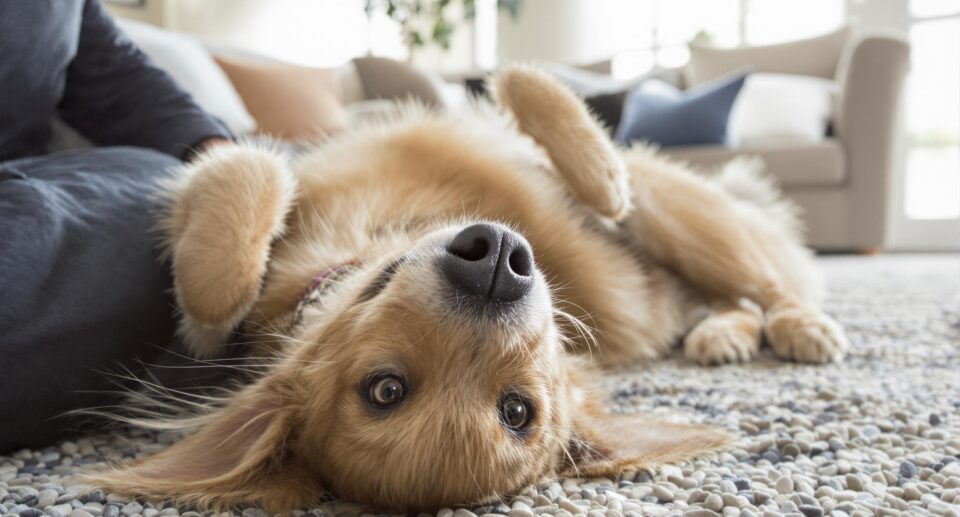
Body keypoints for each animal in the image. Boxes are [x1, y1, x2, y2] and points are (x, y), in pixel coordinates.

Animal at [82, 67, 848, 512]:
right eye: (386, 390)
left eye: (516, 410)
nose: (498, 264)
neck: (379, 234)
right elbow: (230, 257)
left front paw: (591, 165)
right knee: (742, 296)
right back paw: (734, 332)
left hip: (687, 219)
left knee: (763, 283)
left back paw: (788, 323)